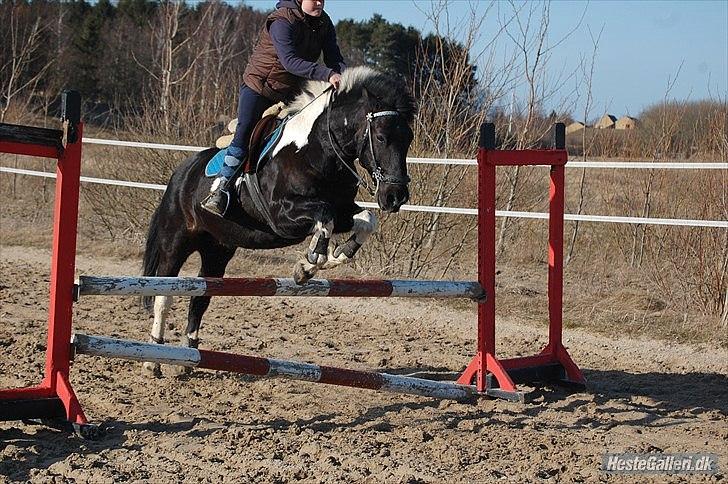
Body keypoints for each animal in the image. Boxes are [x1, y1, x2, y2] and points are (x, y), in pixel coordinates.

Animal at [140, 66, 416, 377]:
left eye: (408, 138)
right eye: (381, 137)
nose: (395, 196)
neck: (317, 150)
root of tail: (180, 173)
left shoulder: (344, 210)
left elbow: (366, 219)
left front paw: (334, 255)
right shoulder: (283, 216)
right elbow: (325, 216)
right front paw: (310, 262)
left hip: (217, 250)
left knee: (200, 298)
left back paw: (187, 359)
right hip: (175, 242)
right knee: (163, 295)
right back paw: (153, 360)